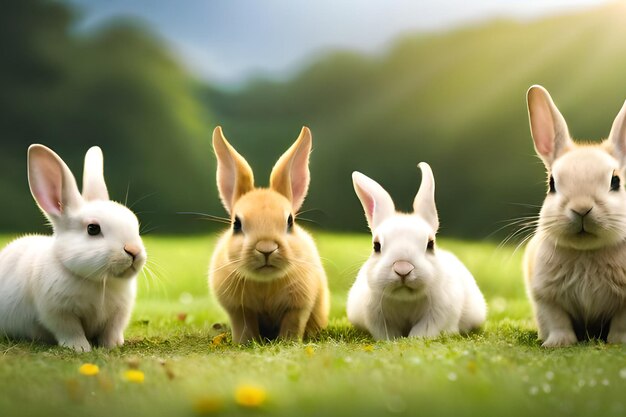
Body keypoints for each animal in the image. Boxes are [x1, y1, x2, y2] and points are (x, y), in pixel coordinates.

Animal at [0, 145, 146, 350]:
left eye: (134, 222)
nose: (134, 251)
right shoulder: (58, 312)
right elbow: (71, 331)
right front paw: (80, 348)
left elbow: (111, 331)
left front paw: (113, 345)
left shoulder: (119, 313)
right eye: (93, 229)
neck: (99, 282)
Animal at [207, 125, 330, 342]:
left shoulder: (299, 307)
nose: (266, 249)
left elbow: (292, 324)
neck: (265, 282)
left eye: (290, 222)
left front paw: (288, 342)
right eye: (236, 224)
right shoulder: (239, 309)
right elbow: (244, 326)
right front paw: (244, 343)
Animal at [346, 161, 482, 340]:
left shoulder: (438, 314)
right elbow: (387, 333)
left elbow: (423, 330)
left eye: (430, 244)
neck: (405, 299)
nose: (402, 269)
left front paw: (415, 339)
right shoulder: (376, 317)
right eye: (376, 246)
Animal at [520, 83, 626, 344]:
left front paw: (618, 342)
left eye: (615, 181)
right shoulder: (546, 298)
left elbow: (621, 323)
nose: (581, 209)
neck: (586, 252)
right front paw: (558, 344)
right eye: (552, 184)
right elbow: (558, 321)